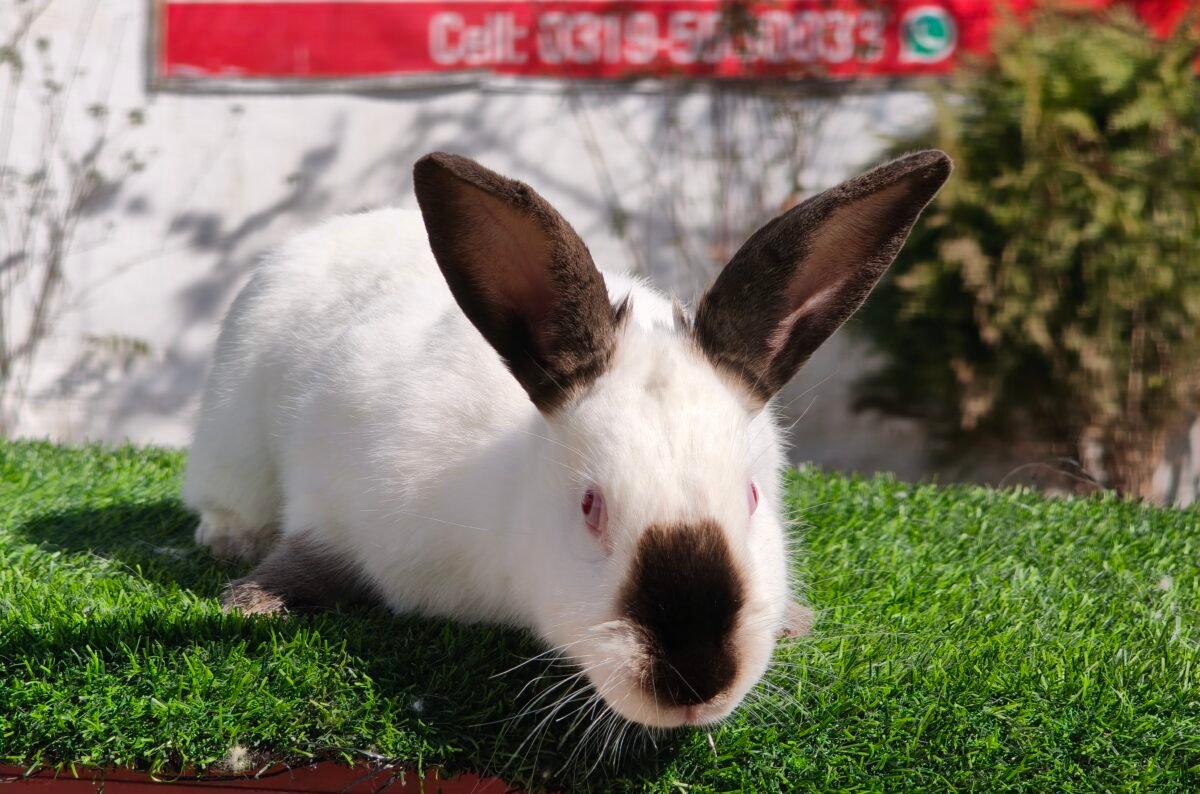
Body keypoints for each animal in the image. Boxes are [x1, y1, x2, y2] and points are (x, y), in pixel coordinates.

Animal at [183, 150, 951, 728]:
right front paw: (254, 604)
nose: (696, 679)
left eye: (754, 498)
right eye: (590, 509)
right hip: (228, 443)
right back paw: (231, 541)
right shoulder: (338, 507)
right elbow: (309, 556)